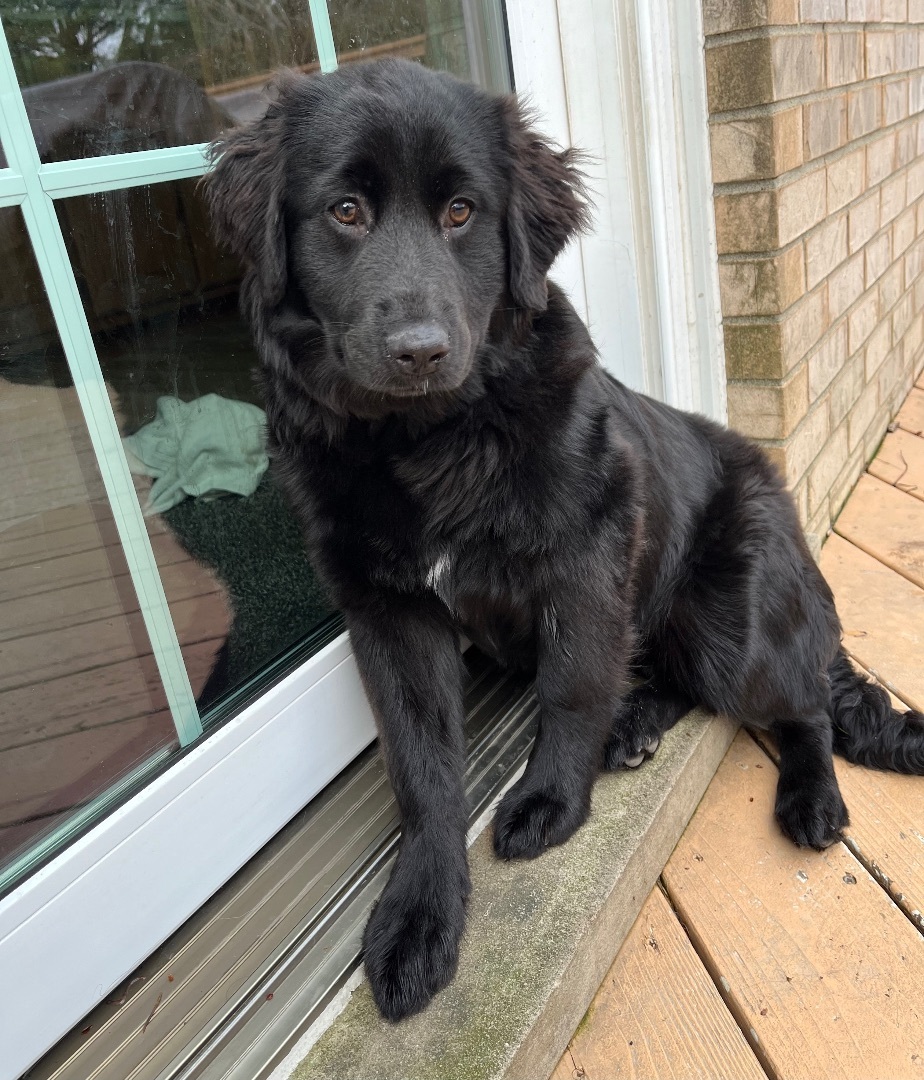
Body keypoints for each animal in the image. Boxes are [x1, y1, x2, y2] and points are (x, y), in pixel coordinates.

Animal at [207, 59, 924, 1019]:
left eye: (462, 211)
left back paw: (807, 797)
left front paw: (551, 799)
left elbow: (573, 684)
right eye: (345, 211)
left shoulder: (585, 558)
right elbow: (422, 767)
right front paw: (420, 915)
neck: (427, 441)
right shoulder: (389, 614)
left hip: (728, 625)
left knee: (801, 701)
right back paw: (641, 725)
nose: (420, 351)